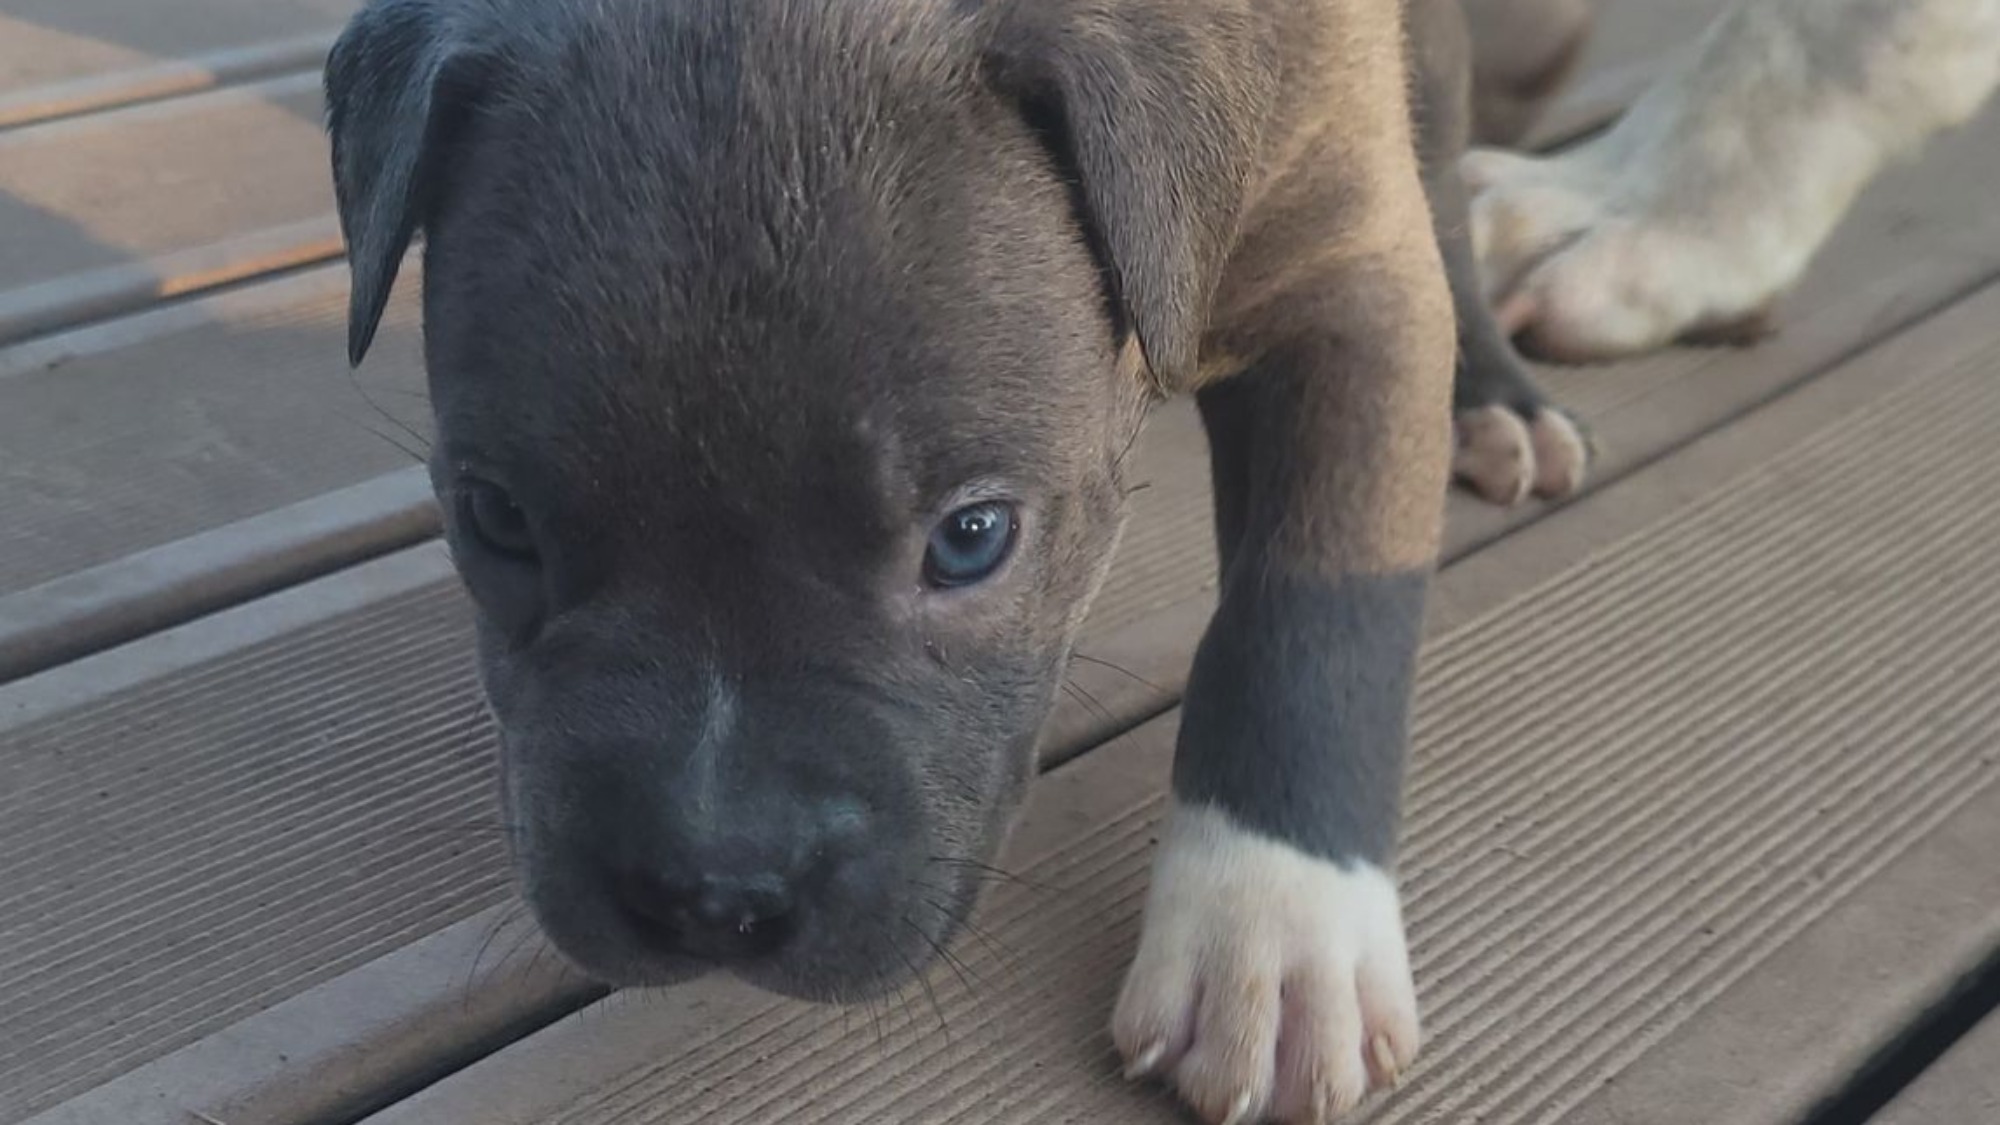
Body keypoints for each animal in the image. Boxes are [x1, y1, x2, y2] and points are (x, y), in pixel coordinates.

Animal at [324, 0, 1560, 1112]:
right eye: (495, 519)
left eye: (971, 539)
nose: (711, 889)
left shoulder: (1347, 283)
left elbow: (1314, 621)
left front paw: (1271, 926)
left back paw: (1494, 397)